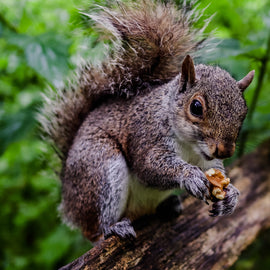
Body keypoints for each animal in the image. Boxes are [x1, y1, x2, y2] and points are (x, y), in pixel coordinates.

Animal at [39, 0, 254, 240]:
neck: (190, 146)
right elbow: (149, 165)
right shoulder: (145, 135)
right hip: (100, 168)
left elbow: (217, 171)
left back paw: (169, 206)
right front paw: (189, 175)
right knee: (95, 229)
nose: (225, 151)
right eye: (196, 107)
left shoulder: (208, 161)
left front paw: (231, 194)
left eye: (243, 111)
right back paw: (112, 227)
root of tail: (68, 200)